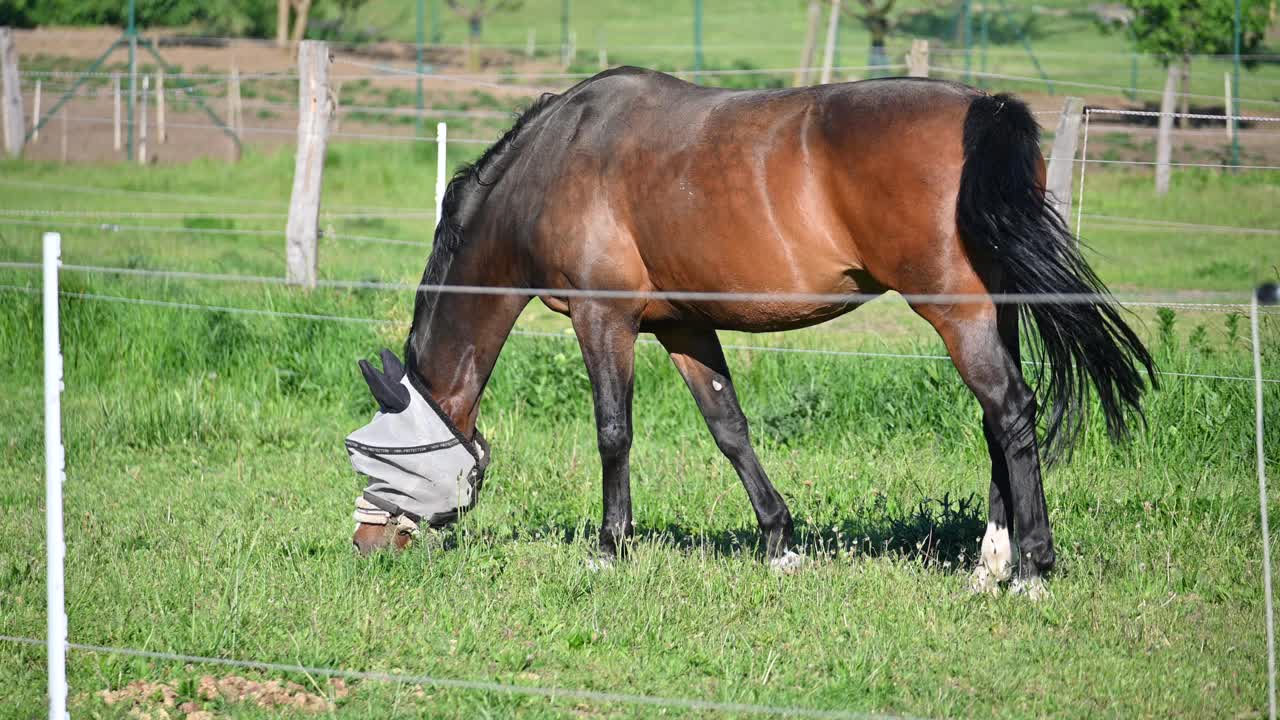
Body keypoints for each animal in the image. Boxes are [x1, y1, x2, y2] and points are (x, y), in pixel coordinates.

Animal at [353, 68, 1162, 594]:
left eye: (375, 461)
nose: (365, 544)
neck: (558, 159)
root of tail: (982, 108)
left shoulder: (604, 317)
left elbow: (613, 432)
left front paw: (609, 550)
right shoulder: (683, 327)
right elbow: (729, 428)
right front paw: (778, 543)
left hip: (954, 311)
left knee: (1011, 410)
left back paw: (1029, 569)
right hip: (995, 310)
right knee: (1000, 419)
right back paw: (987, 563)